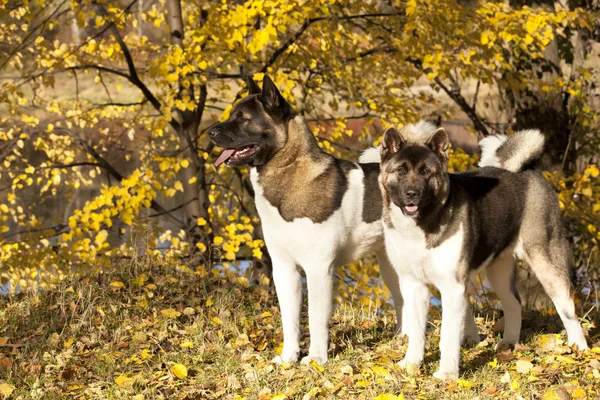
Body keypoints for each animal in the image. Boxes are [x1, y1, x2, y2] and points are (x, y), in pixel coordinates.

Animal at [378, 124, 588, 378]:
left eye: (426, 172)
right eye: (400, 170)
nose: (412, 193)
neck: (421, 225)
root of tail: (530, 170)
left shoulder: (452, 287)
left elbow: (448, 336)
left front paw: (447, 375)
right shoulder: (412, 284)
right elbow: (417, 332)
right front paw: (411, 365)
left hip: (546, 261)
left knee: (567, 309)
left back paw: (579, 350)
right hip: (499, 270)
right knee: (513, 303)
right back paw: (509, 344)